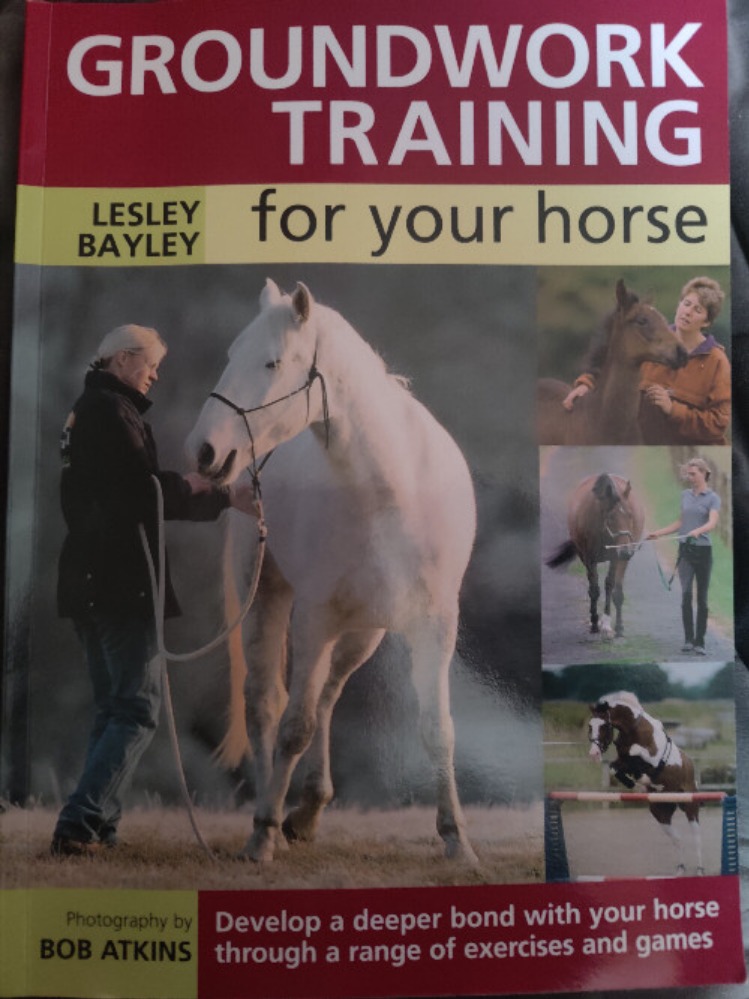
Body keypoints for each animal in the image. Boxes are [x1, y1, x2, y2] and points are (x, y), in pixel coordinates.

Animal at [185, 279, 478, 864]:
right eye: (230, 356)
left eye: (273, 362)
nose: (204, 451)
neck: (393, 490)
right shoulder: (315, 617)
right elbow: (292, 727)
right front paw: (263, 835)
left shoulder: (435, 623)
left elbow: (437, 729)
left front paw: (457, 839)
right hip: (269, 598)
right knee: (267, 704)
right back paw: (273, 816)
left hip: (363, 631)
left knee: (325, 697)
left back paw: (309, 809)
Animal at [546, 473, 644, 639]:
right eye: (611, 518)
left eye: (630, 515)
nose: (626, 551)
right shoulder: (589, 558)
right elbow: (594, 590)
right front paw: (594, 623)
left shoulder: (615, 557)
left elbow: (611, 587)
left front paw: (610, 626)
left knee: (615, 588)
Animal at [588, 691, 702, 875]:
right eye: (590, 726)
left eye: (604, 726)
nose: (593, 754)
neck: (633, 729)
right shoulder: (622, 761)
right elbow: (614, 768)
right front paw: (635, 783)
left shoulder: (652, 759)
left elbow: (636, 754)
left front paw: (642, 780)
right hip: (661, 814)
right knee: (677, 839)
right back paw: (680, 869)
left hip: (691, 806)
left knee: (696, 837)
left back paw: (699, 869)